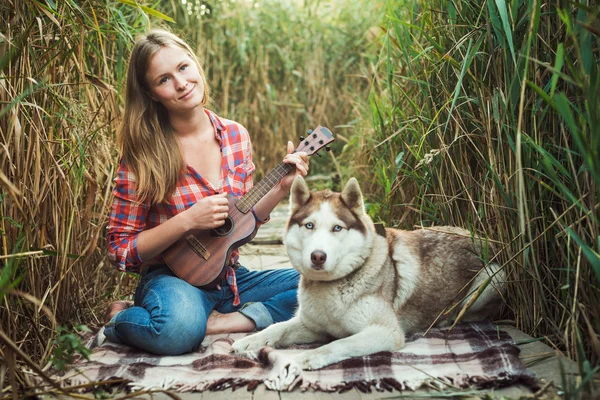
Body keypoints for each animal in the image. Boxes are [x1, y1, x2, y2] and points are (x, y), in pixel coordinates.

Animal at [232, 177, 504, 370]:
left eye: (337, 228)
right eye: (309, 225)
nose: (318, 256)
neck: (333, 285)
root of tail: (485, 239)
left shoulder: (386, 332)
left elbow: (340, 342)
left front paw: (310, 356)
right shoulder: (311, 325)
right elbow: (277, 327)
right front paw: (251, 340)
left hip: (494, 276)